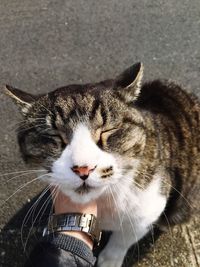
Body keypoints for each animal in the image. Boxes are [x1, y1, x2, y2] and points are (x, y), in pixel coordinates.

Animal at [4, 63, 200, 267]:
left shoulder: (150, 207)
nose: (83, 168)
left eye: (107, 131)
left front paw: (110, 259)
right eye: (55, 136)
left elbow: (125, 238)